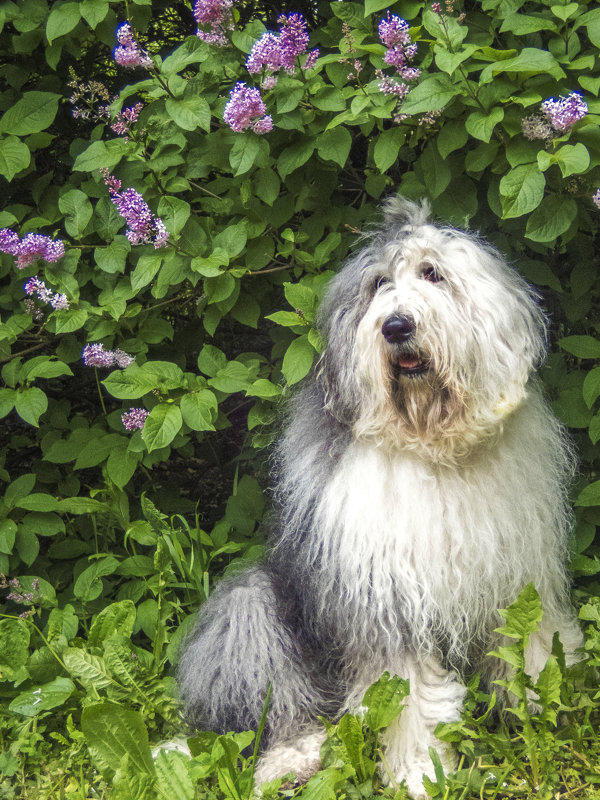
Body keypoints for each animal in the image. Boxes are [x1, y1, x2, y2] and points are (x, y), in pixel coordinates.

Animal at [178, 197, 580, 796]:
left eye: (433, 273)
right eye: (377, 285)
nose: (396, 325)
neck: (431, 446)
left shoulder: (521, 576)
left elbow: (534, 645)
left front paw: (547, 710)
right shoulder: (385, 601)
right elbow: (405, 696)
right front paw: (420, 772)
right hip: (250, 608)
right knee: (277, 702)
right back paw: (292, 761)